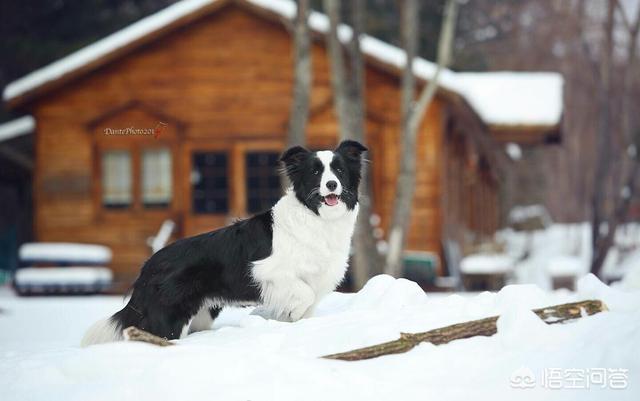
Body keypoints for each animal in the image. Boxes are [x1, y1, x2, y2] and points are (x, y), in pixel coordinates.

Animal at [81, 140, 364, 344]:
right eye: (316, 172)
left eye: (339, 170)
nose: (331, 185)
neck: (316, 216)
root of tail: (148, 266)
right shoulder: (268, 272)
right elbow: (303, 295)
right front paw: (287, 314)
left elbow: (308, 304)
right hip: (168, 317)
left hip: (201, 314)